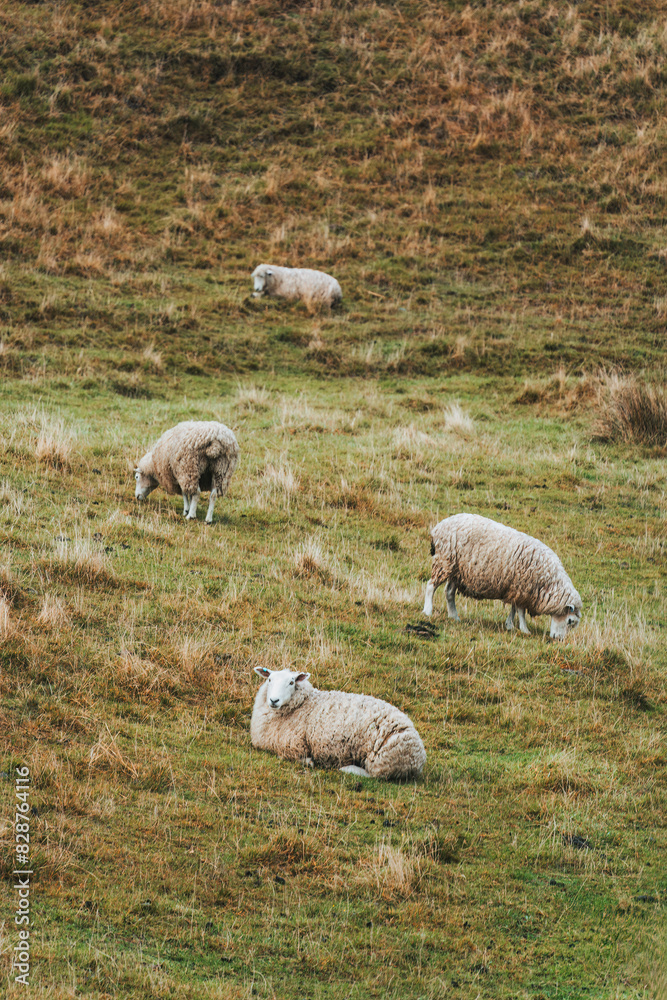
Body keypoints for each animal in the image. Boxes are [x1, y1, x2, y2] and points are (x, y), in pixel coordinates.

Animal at [251, 668, 426, 780]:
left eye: (291, 682)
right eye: (269, 679)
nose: (274, 700)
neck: (302, 704)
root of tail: (419, 757)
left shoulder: (294, 746)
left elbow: (294, 757)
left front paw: (309, 762)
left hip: (383, 760)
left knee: (375, 776)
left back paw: (347, 769)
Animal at [423, 513, 582, 640]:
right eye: (570, 621)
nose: (559, 639)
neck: (548, 582)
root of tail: (438, 527)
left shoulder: (516, 588)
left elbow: (514, 608)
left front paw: (509, 624)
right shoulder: (523, 587)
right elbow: (520, 611)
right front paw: (524, 629)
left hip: (456, 570)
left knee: (449, 592)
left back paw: (454, 616)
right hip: (444, 560)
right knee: (431, 586)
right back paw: (428, 611)